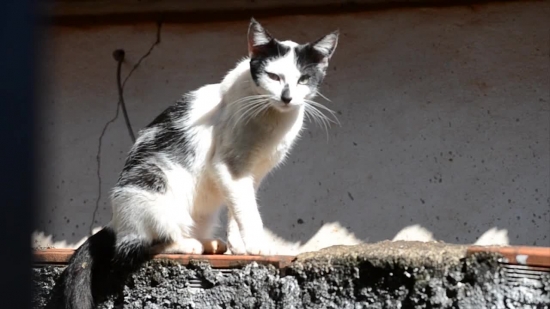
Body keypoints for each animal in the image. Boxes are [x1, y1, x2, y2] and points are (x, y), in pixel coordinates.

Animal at [47, 17, 340, 308]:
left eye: (303, 79)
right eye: (274, 77)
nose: (287, 97)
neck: (272, 117)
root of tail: (116, 223)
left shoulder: (251, 174)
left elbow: (238, 208)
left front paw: (241, 246)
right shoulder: (228, 166)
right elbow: (248, 211)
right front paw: (258, 245)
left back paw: (210, 243)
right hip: (153, 186)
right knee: (134, 247)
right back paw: (189, 244)